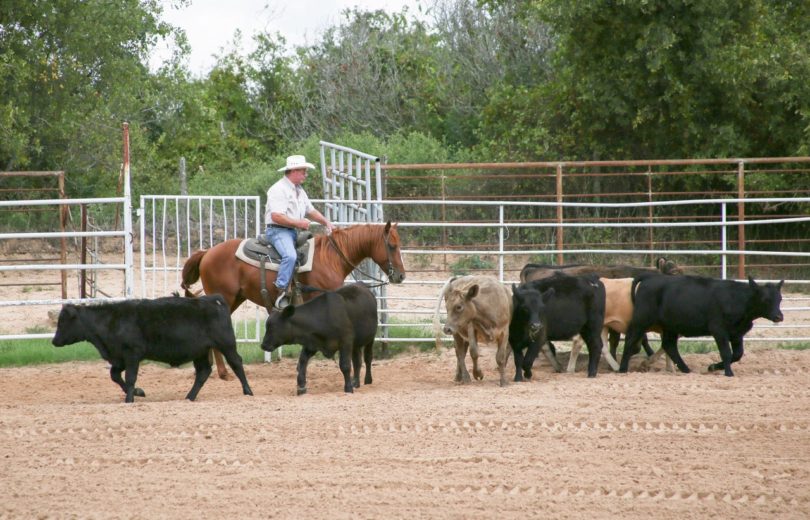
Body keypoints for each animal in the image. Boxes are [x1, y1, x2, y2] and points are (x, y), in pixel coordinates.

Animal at [181, 221, 406, 379]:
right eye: (391, 245)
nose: (401, 276)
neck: (331, 258)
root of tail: (208, 252)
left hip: (234, 299)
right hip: (225, 298)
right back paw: (223, 372)